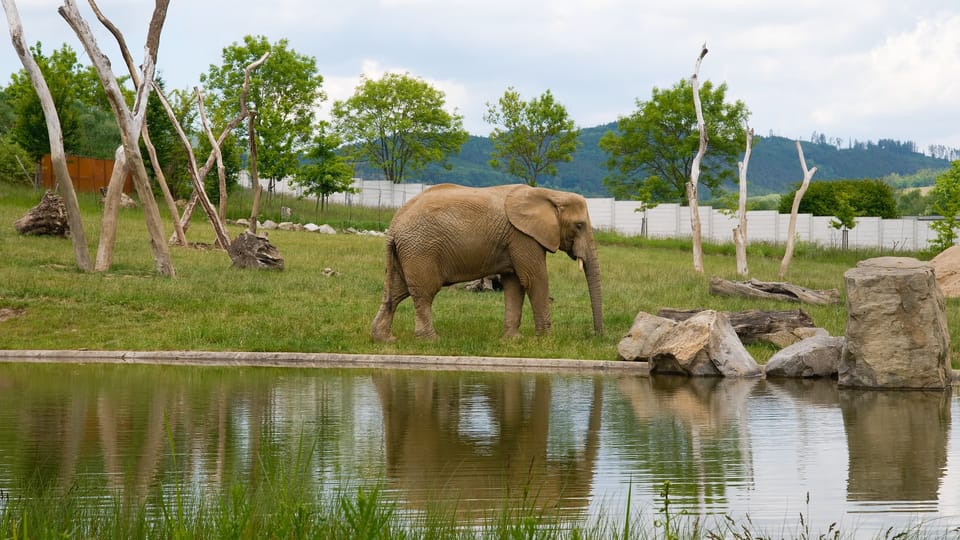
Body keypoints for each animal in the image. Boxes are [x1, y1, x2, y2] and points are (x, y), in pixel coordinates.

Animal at [371, 183, 602, 342]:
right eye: (579, 225)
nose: (596, 336)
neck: (551, 194)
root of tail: (394, 226)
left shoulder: (515, 239)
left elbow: (514, 283)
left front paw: (512, 341)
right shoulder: (523, 237)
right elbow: (534, 279)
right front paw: (545, 340)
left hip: (407, 252)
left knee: (397, 292)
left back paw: (384, 339)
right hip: (421, 250)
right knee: (424, 293)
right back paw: (431, 340)